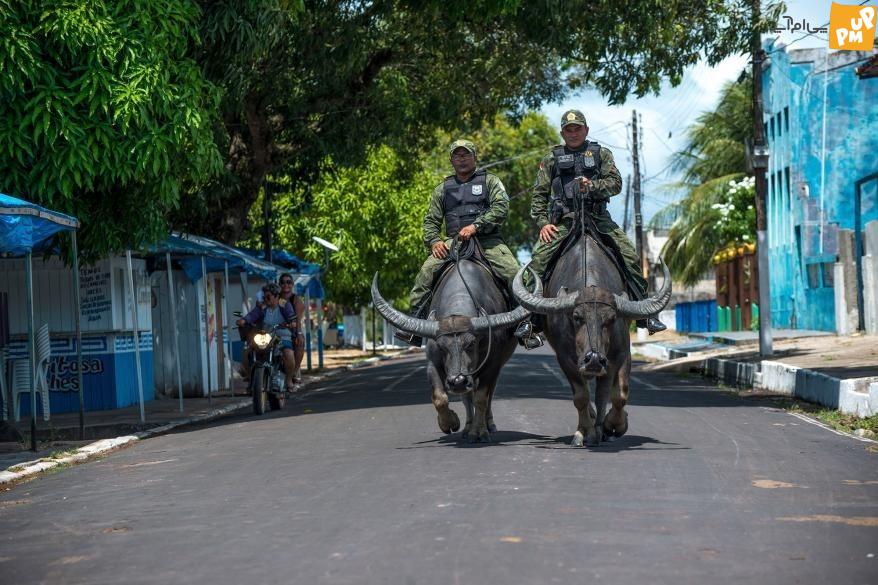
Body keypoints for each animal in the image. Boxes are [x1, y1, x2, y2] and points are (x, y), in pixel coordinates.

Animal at [372, 260, 536, 442]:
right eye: (441, 346)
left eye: (471, 343)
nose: (457, 381)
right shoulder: (433, 363)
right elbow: (440, 397)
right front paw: (450, 424)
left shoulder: (492, 365)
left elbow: (481, 398)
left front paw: (479, 432)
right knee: (466, 397)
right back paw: (467, 427)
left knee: (488, 394)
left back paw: (488, 425)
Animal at [512, 233, 672, 448]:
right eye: (577, 317)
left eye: (611, 318)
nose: (594, 359)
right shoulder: (566, 359)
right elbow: (581, 396)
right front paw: (584, 432)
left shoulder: (620, 354)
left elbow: (617, 394)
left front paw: (612, 426)